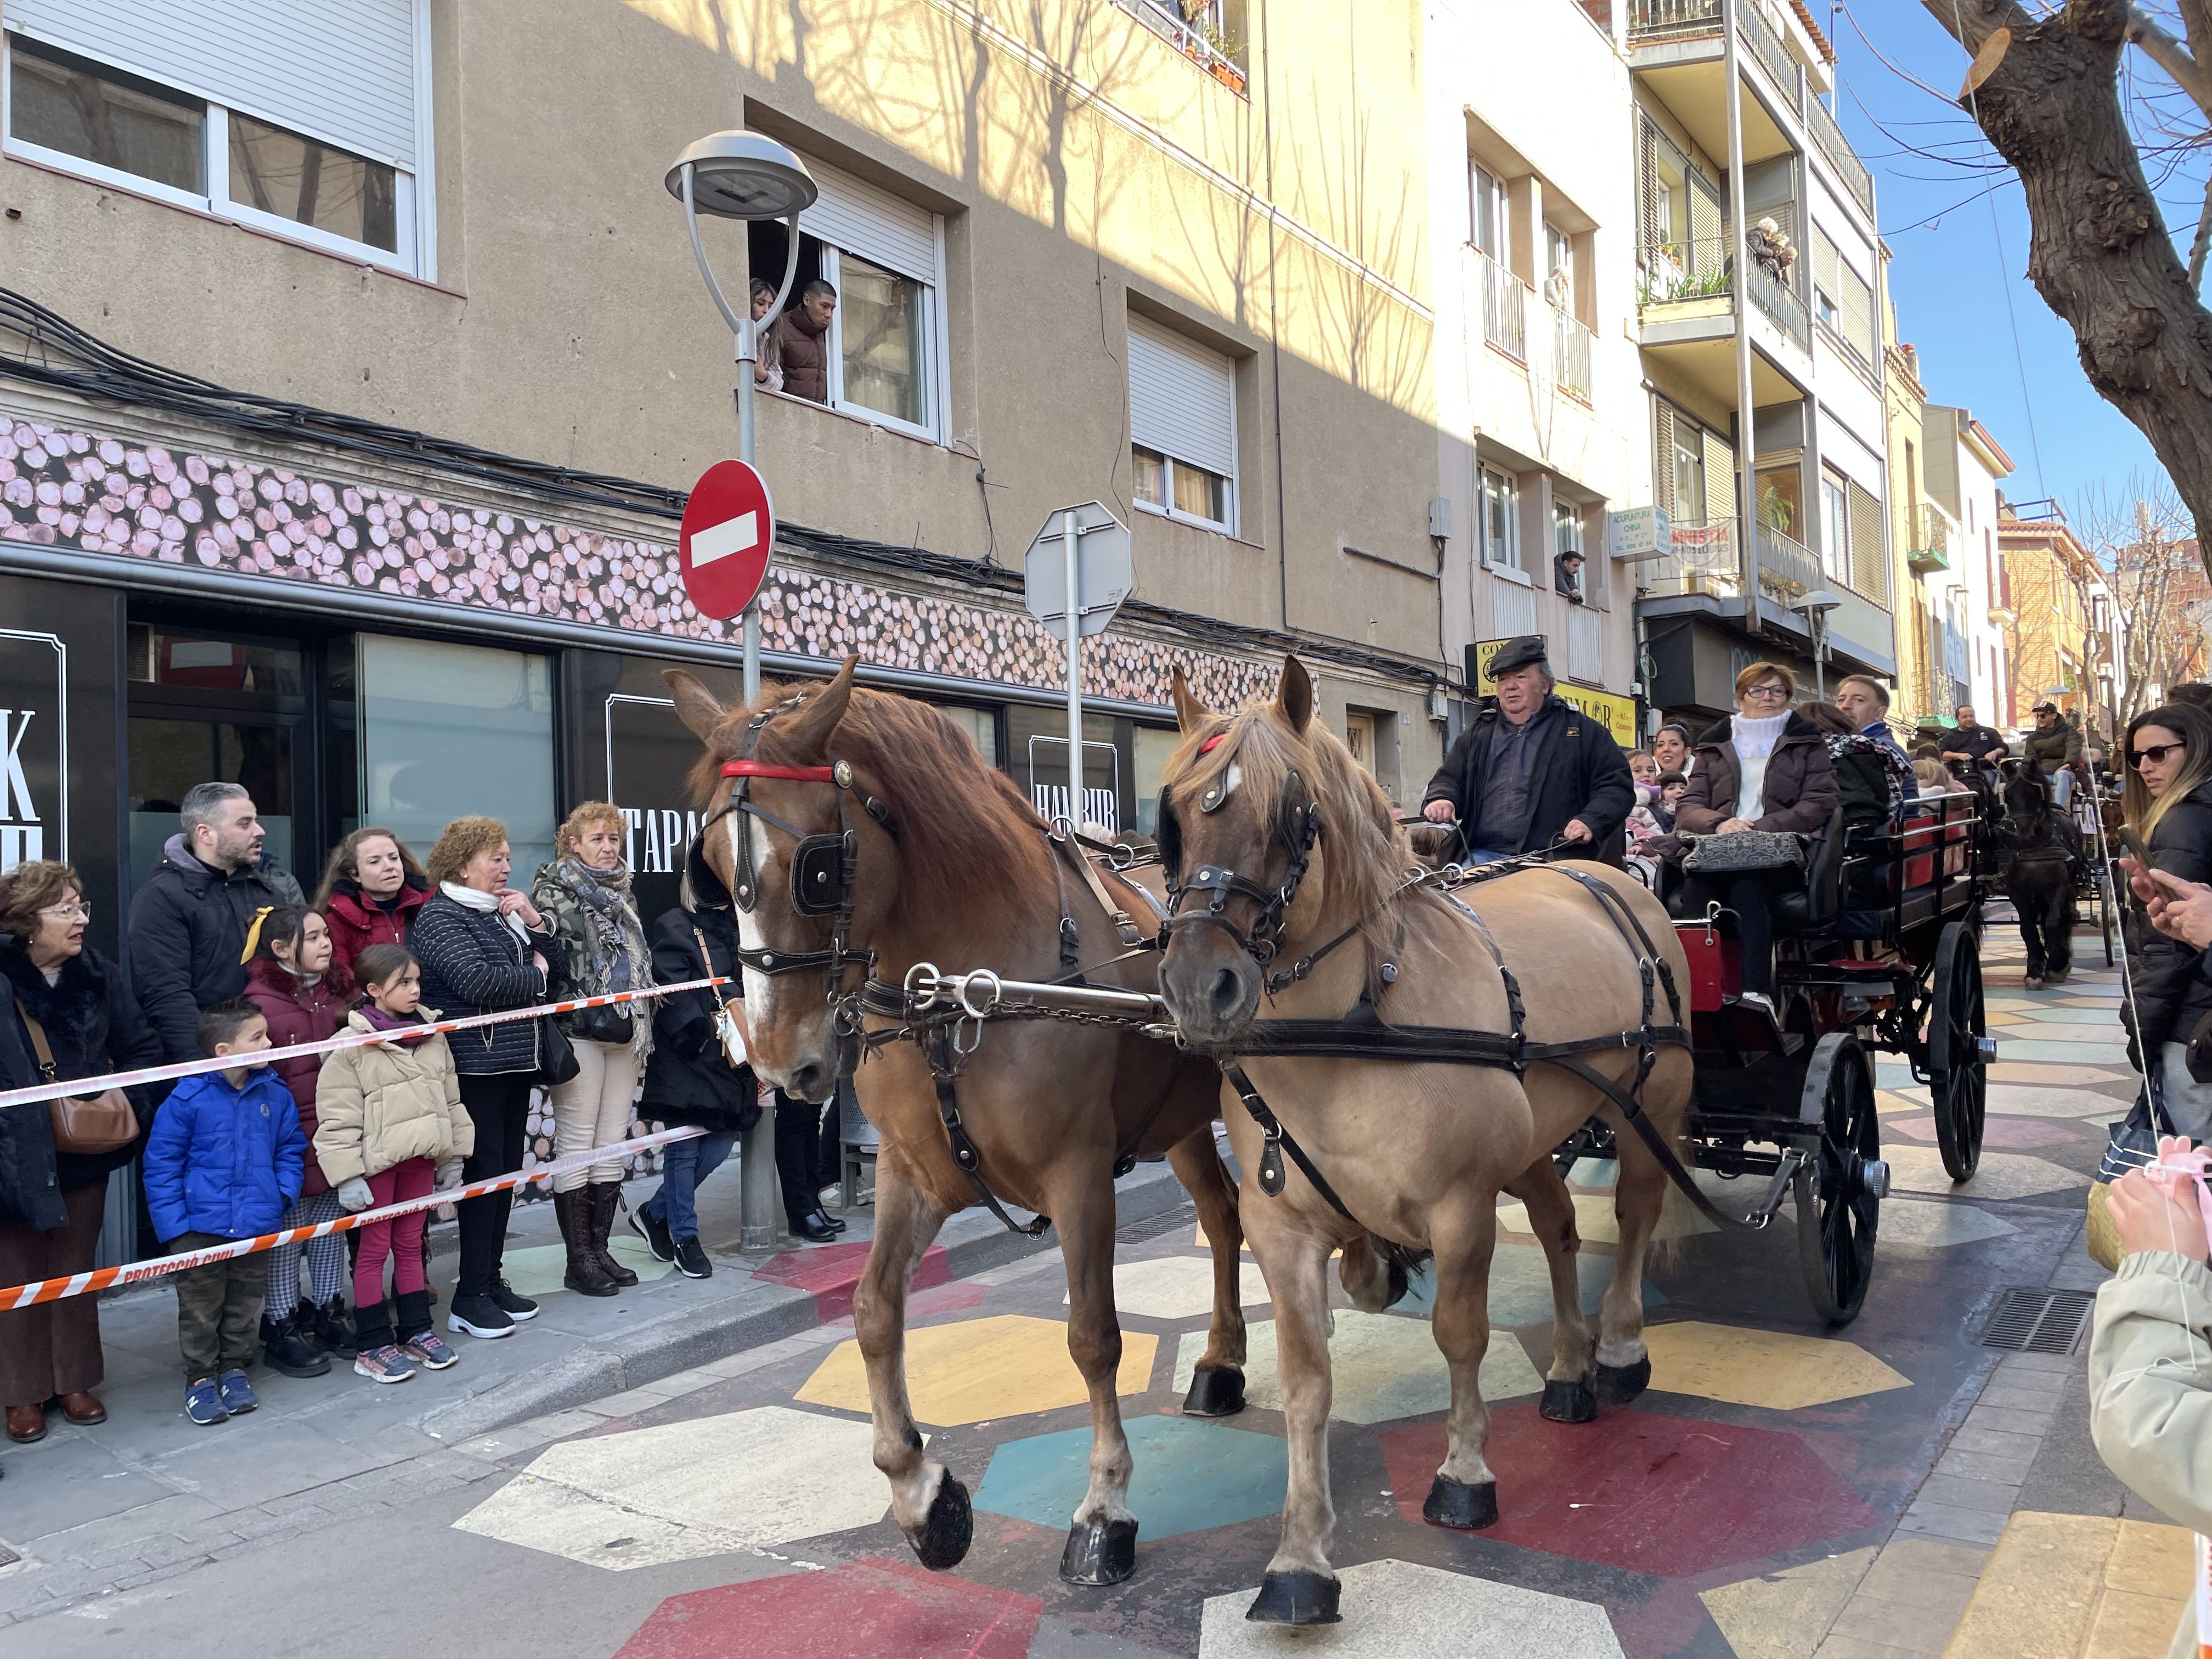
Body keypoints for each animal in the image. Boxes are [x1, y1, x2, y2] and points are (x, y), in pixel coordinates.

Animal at [1159, 654, 1690, 1628]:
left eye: (1293, 815)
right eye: (1173, 816)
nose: (1195, 987)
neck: (1352, 1029)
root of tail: (1605, 876)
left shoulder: (1460, 1208)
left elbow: (1461, 1335)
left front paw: (1464, 1472)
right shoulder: (1282, 1229)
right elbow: (1307, 1378)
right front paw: (1300, 1556)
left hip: (1650, 1109)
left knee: (1634, 1216)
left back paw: (1618, 1348)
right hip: (1537, 1139)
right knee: (1558, 1228)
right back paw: (1568, 1367)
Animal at [1999, 765, 2079, 986]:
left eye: (2035, 792)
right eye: (2008, 795)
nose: (2025, 832)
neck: (2034, 849)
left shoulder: (2058, 888)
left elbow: (2054, 922)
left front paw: (2057, 965)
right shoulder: (2017, 894)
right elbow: (2028, 928)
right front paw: (2034, 971)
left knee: (2063, 919)